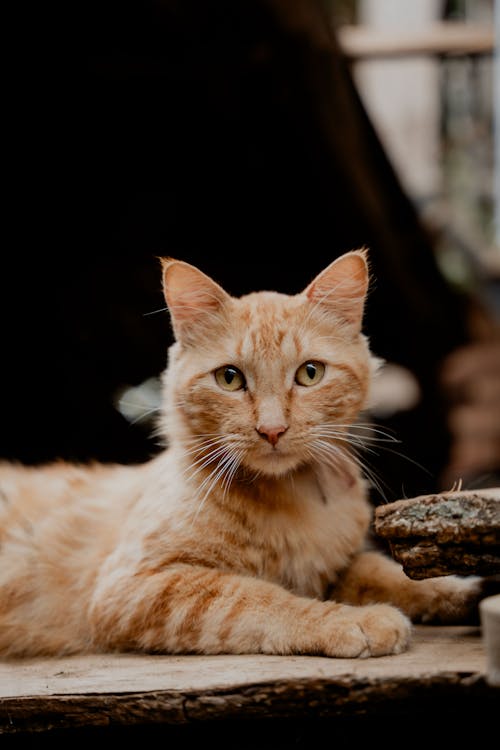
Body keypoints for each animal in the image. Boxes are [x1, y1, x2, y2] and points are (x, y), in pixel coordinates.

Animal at [0, 251, 480, 656]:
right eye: (229, 378)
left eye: (310, 373)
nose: (272, 429)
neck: (293, 499)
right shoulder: (135, 588)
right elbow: (256, 597)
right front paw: (350, 622)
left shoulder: (339, 565)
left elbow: (385, 572)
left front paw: (458, 589)